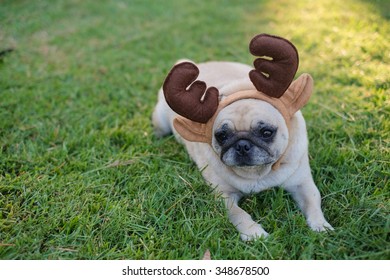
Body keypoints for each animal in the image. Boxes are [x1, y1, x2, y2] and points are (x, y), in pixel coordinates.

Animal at [152, 33, 332, 241]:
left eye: (266, 133)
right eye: (221, 136)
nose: (242, 145)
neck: (258, 173)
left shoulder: (303, 184)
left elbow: (314, 202)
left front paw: (320, 226)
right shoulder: (223, 195)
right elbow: (239, 213)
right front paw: (254, 233)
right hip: (161, 120)